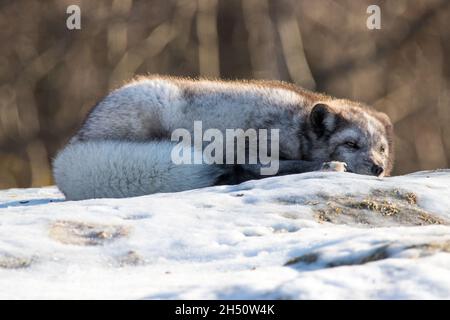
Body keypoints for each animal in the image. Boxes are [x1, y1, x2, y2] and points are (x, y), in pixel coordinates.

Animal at [53, 75, 394, 200]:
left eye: (381, 149)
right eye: (351, 144)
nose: (378, 168)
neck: (297, 121)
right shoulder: (255, 150)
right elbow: (278, 166)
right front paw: (329, 166)